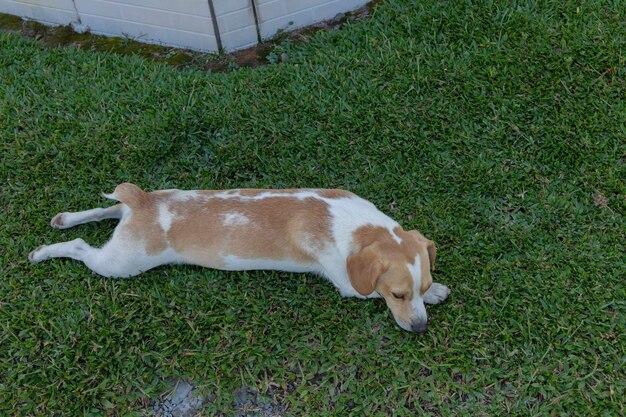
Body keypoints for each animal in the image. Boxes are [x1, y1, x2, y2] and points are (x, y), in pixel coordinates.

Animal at [29, 182, 448, 332]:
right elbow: (367, 290)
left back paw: (64, 218)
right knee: (80, 246)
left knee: (103, 212)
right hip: (120, 265)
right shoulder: (349, 284)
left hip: (122, 225)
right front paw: (436, 295)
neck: (360, 227)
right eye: (396, 295)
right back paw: (43, 251)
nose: (420, 329)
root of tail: (143, 201)